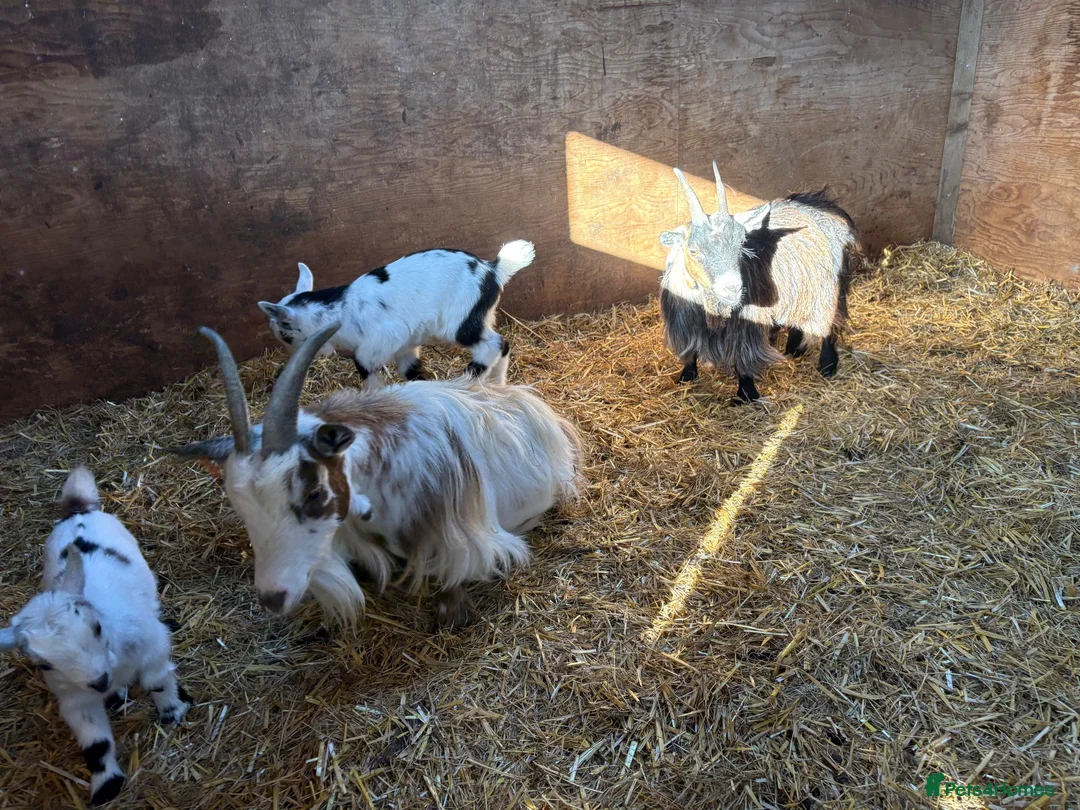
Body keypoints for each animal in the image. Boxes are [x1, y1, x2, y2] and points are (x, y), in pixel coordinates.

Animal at [0, 467, 192, 806]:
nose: (100, 680)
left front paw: (173, 710)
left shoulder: (150, 643)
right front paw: (107, 787)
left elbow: (156, 679)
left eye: (97, 627)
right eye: (44, 664)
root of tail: (78, 510)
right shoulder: (75, 697)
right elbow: (95, 743)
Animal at [258, 240, 535, 384]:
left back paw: (468, 380)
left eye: (284, 335)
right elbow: (412, 373)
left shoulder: (383, 338)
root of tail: (493, 269)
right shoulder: (405, 346)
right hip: (480, 316)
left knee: (491, 345)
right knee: (502, 344)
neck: (339, 312)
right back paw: (497, 386)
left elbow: (363, 366)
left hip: (459, 321)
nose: (296, 357)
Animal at [668, 163, 862, 403]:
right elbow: (689, 350)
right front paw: (686, 377)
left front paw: (746, 394)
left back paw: (827, 364)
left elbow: (743, 356)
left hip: (829, 286)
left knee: (830, 320)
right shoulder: (684, 322)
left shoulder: (746, 326)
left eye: (741, 244)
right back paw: (794, 348)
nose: (733, 288)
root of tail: (826, 204)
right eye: (693, 250)